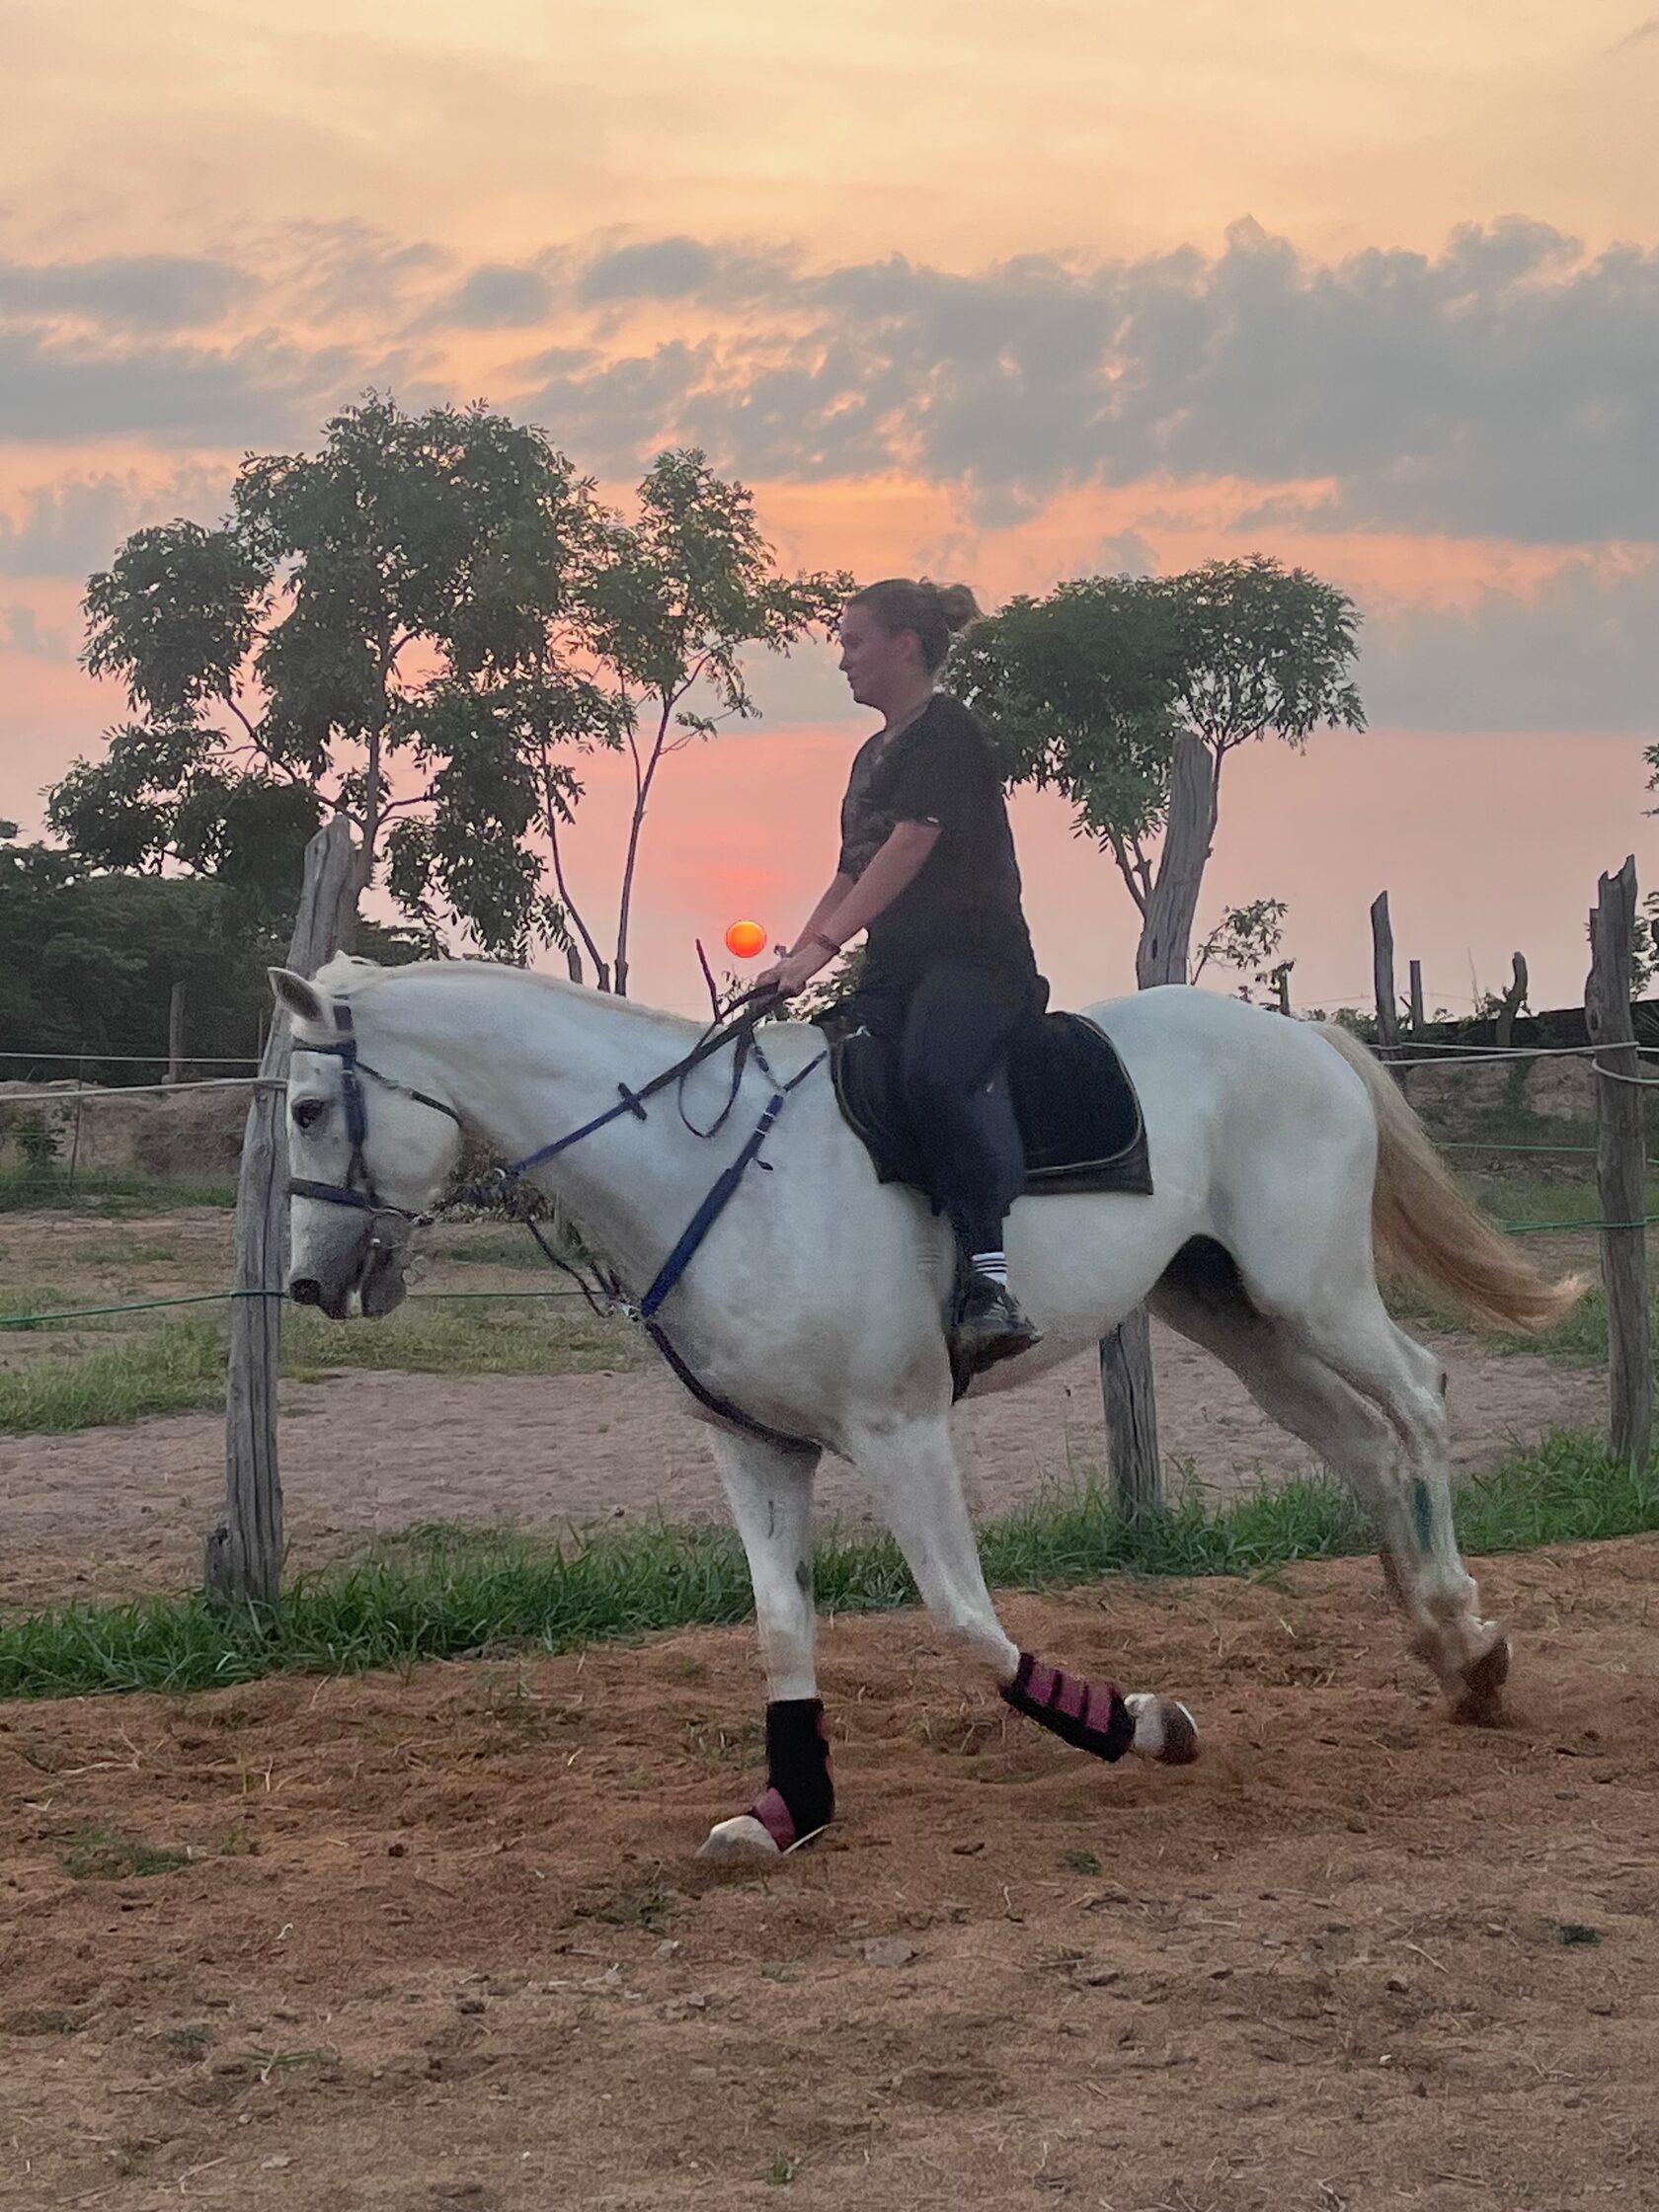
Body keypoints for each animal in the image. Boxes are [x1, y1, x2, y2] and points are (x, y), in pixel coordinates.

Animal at [270, 955, 1578, 1862]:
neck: (711, 1181)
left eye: (304, 1110)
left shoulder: (899, 1433)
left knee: (1418, 1401)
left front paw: (1143, 1723)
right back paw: (1446, 1649)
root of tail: (1295, 1032)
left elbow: (965, 1622)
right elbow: (782, 1628)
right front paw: (788, 1808)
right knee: (1363, 1446)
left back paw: (1469, 1638)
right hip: (1237, 1313)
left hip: (1312, 1290)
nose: (309, 1284)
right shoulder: (756, 1449)